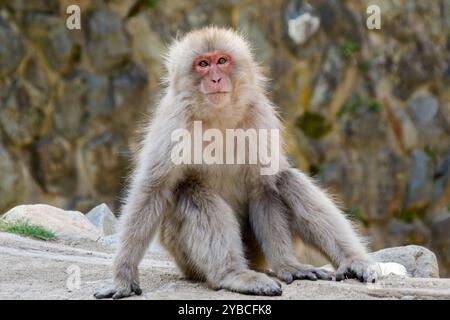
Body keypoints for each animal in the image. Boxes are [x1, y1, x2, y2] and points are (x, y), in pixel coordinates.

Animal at [96, 26, 380, 298]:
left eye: (222, 60)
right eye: (203, 64)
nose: (215, 78)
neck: (218, 117)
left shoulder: (261, 117)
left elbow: (264, 186)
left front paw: (288, 265)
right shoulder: (172, 123)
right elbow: (154, 189)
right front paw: (123, 277)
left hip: (255, 250)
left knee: (286, 179)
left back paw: (352, 261)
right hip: (184, 258)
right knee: (191, 191)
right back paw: (232, 274)